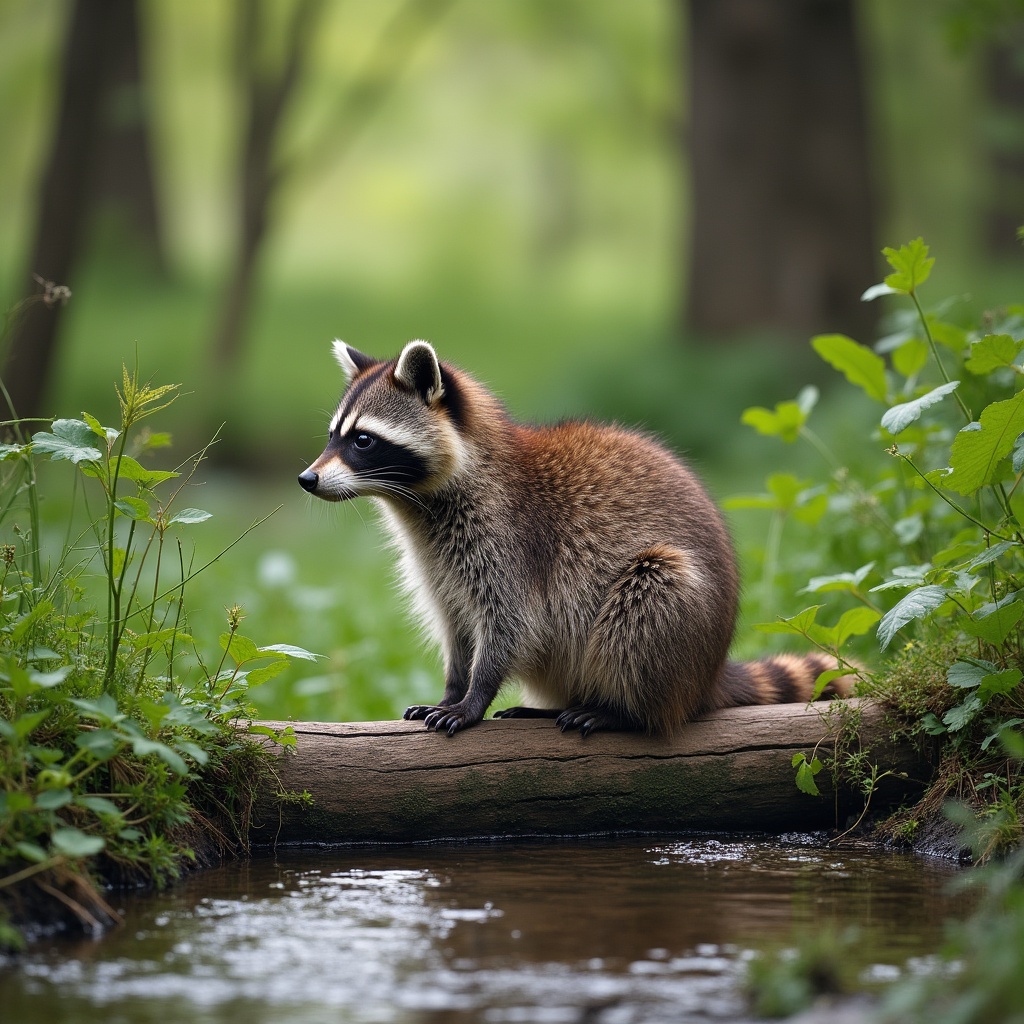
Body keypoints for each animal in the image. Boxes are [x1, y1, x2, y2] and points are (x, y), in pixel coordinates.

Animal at [298, 340, 853, 738]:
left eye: (362, 440)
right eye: (332, 435)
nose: (307, 478)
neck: (418, 502)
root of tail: (707, 677)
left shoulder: (510, 539)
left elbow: (510, 624)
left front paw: (475, 697)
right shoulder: (437, 564)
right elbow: (456, 626)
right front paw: (453, 689)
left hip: (668, 606)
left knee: (651, 597)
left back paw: (622, 711)